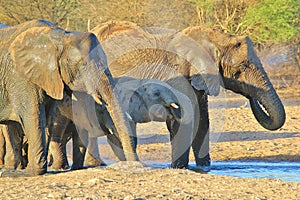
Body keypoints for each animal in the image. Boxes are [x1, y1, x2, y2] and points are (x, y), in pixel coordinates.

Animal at [0, 19, 138, 175]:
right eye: (84, 64)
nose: (133, 166)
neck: (61, 37)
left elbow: (48, 118)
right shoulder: (20, 77)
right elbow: (34, 116)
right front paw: (32, 172)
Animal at [91, 20, 286, 170]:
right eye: (243, 66)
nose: (250, 98)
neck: (214, 38)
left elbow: (202, 120)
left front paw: (204, 167)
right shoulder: (178, 75)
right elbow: (183, 119)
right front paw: (179, 168)